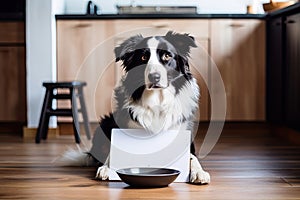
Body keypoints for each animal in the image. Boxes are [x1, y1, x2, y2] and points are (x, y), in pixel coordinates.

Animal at [62, 30, 210, 184]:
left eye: (167, 55)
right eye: (144, 57)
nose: (154, 77)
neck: (157, 102)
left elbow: (192, 157)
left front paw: (199, 172)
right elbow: (113, 150)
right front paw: (107, 167)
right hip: (106, 122)